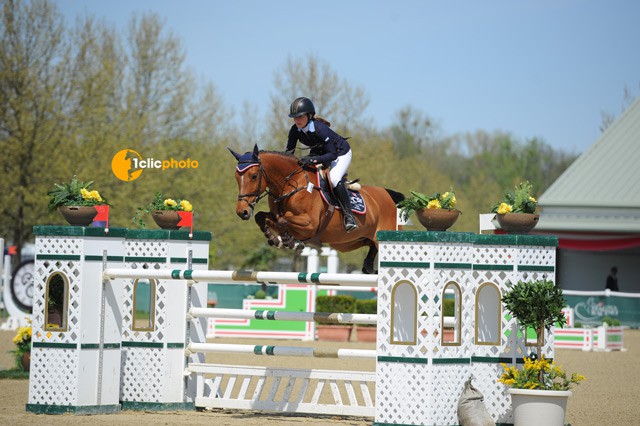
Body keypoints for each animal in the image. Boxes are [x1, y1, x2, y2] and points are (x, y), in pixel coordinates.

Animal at [228, 146, 402, 272]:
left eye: (253, 176)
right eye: (236, 177)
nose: (242, 211)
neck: (291, 184)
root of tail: (389, 195)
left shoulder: (310, 224)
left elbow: (283, 220)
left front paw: (290, 241)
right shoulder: (275, 215)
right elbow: (262, 217)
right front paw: (275, 239)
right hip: (352, 242)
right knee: (371, 250)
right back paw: (368, 266)